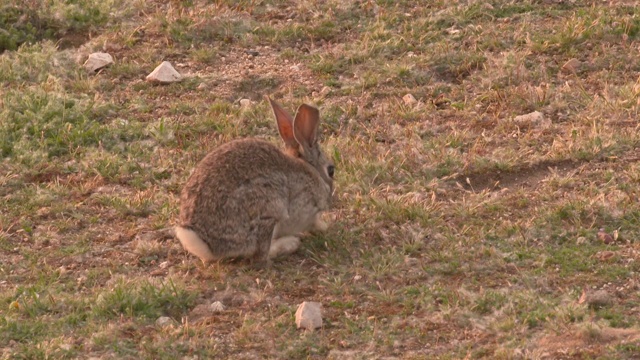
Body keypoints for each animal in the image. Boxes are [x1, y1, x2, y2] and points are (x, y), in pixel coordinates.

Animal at [175, 97, 336, 266]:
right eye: (331, 170)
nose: (330, 198)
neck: (310, 171)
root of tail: (206, 244)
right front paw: (324, 226)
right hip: (269, 209)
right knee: (261, 254)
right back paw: (290, 243)